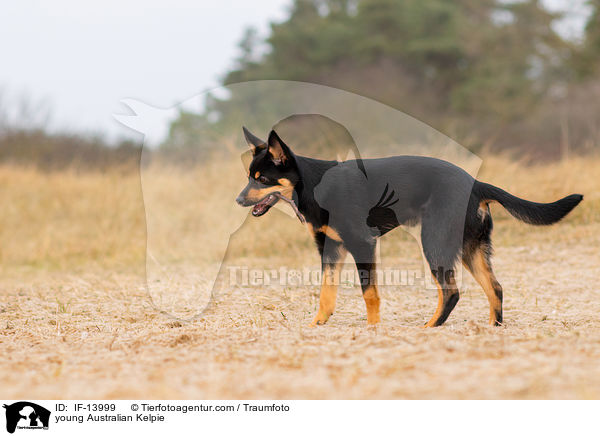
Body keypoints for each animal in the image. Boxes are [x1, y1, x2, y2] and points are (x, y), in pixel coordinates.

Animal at [237, 126, 584, 328]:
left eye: (262, 179)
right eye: (250, 176)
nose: (239, 199)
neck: (315, 185)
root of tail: (476, 184)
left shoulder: (363, 244)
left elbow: (369, 293)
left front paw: (373, 329)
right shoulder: (329, 248)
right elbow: (326, 292)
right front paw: (317, 326)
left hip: (435, 243)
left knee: (451, 292)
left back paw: (430, 327)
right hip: (470, 248)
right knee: (494, 288)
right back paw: (492, 328)